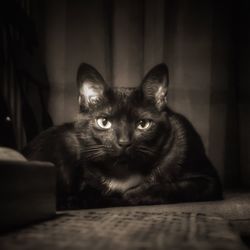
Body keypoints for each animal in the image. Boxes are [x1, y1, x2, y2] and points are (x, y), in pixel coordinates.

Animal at [23, 62, 223, 209]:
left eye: (143, 124)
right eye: (104, 122)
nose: (124, 142)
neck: (125, 171)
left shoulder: (208, 180)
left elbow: (173, 187)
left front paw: (133, 195)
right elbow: (90, 192)